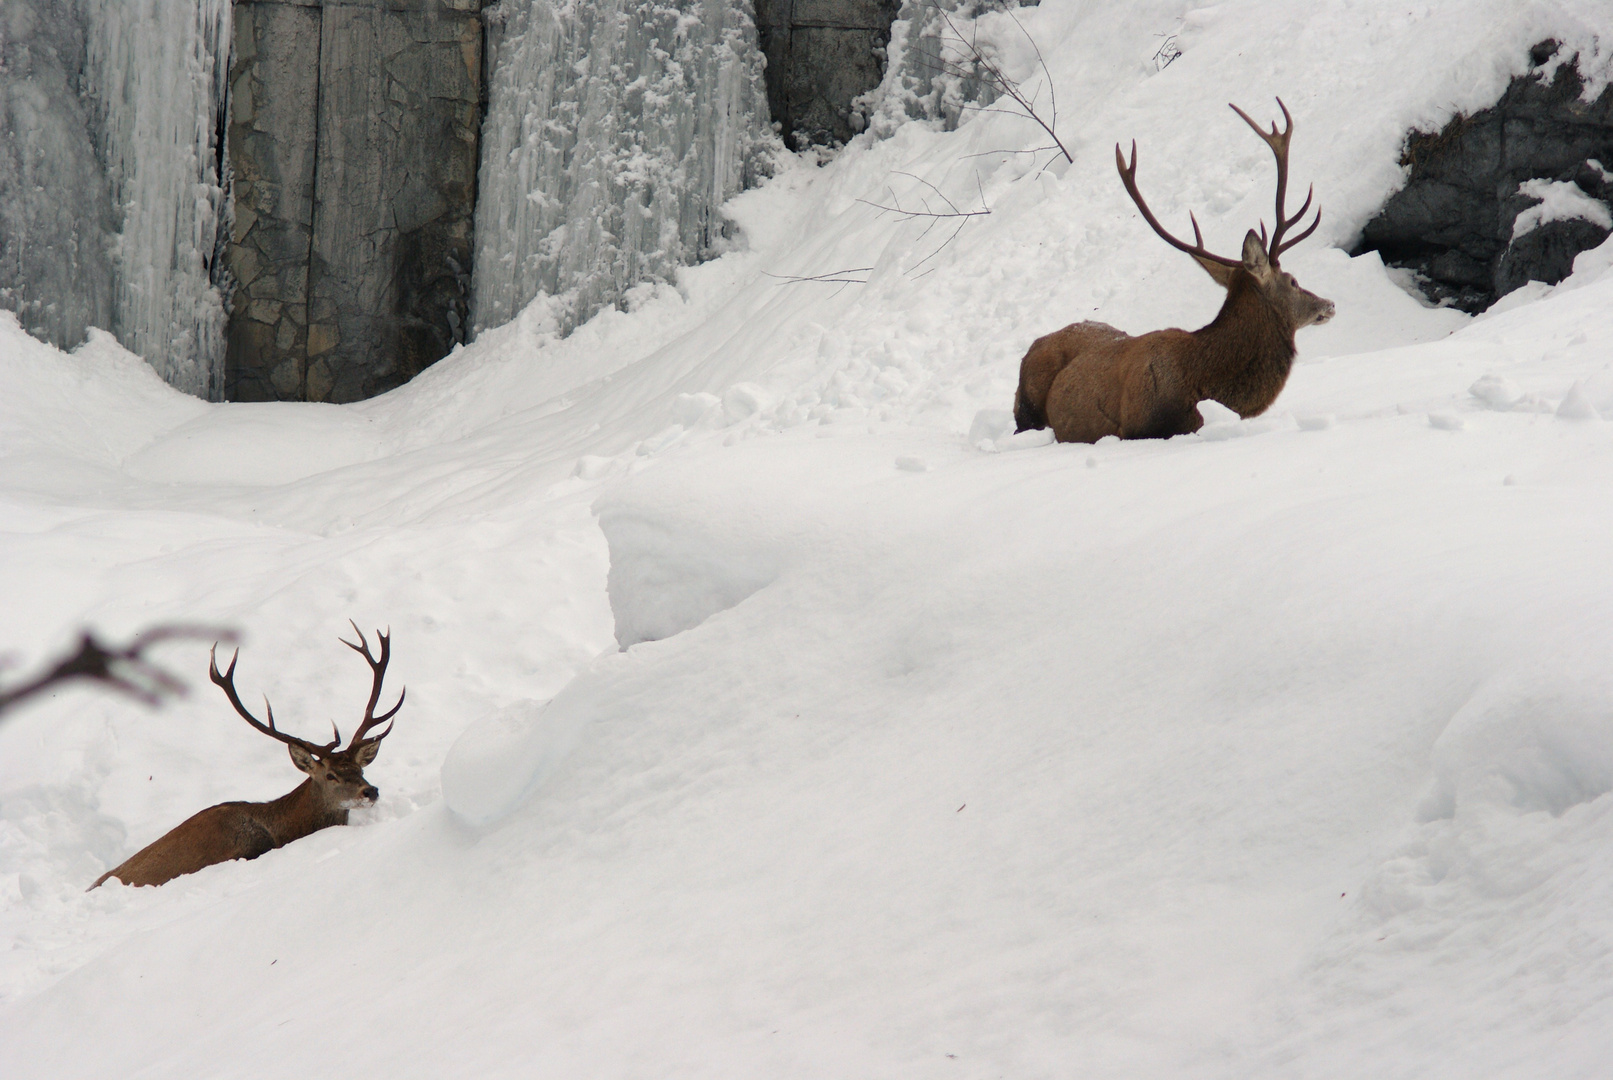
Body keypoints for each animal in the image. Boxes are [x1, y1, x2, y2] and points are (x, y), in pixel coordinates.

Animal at [1019, 98, 1335, 444]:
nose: (1329, 304)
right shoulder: (1138, 427)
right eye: (1293, 281)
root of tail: (1031, 346)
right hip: (1028, 406)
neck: (1204, 382)